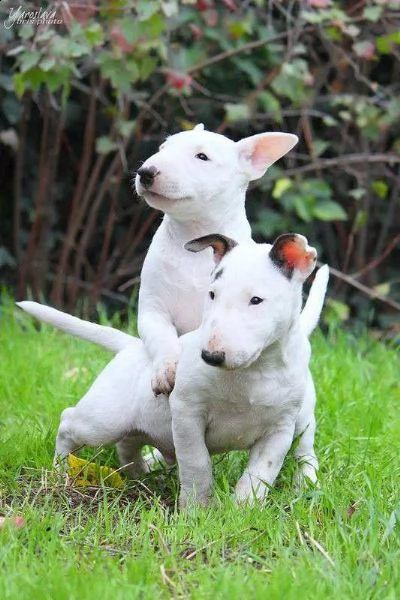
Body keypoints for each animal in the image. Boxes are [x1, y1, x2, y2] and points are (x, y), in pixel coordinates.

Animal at [16, 234, 328, 506]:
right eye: (211, 294)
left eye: (256, 300)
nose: (209, 356)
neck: (254, 370)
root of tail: (133, 346)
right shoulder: (188, 412)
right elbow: (196, 462)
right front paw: (195, 510)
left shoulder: (280, 429)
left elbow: (260, 473)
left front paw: (243, 509)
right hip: (104, 419)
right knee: (69, 423)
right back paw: (59, 471)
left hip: (302, 420)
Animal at [134, 124, 296, 396]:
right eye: (162, 148)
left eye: (202, 157)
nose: (145, 172)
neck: (192, 240)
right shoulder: (152, 307)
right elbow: (160, 335)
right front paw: (166, 371)